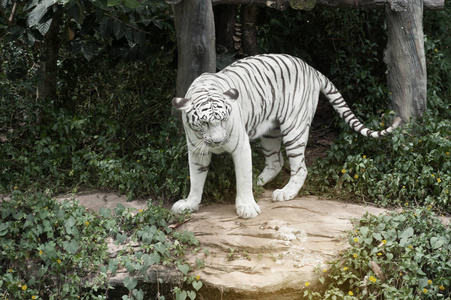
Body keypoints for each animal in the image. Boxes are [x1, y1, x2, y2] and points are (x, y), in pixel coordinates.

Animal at [171, 53, 400, 218]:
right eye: (204, 123)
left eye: (225, 119)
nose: (218, 142)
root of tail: (312, 69)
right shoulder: (197, 149)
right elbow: (196, 179)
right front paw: (189, 204)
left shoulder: (241, 146)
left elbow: (242, 178)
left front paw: (246, 208)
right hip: (270, 132)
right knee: (276, 161)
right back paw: (259, 182)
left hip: (294, 129)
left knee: (300, 167)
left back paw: (285, 192)